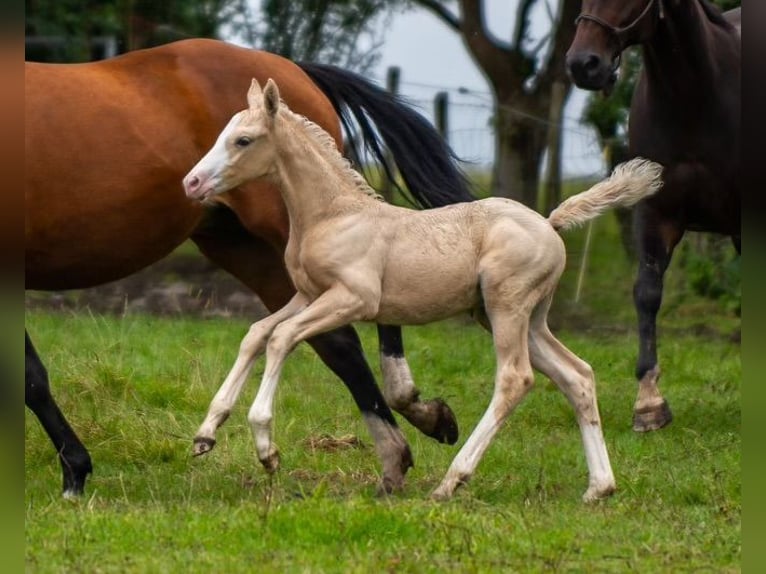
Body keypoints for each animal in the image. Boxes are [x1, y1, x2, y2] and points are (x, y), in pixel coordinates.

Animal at [27, 38, 474, 498]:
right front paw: (75, 469)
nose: (190, 182)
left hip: (287, 238)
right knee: (333, 342)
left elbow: (32, 377)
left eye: (243, 139)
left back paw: (412, 415)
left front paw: (75, 472)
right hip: (248, 249)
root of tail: (294, 68)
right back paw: (398, 446)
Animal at [183, 79, 664, 502]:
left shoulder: (353, 299)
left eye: (243, 140)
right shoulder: (307, 295)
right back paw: (599, 488)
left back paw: (452, 481)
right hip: (518, 317)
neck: (333, 214)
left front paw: (266, 447)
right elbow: (257, 333)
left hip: (507, 308)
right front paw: (206, 434)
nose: (191, 183)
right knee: (576, 376)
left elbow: (282, 338)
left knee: (515, 378)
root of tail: (550, 223)